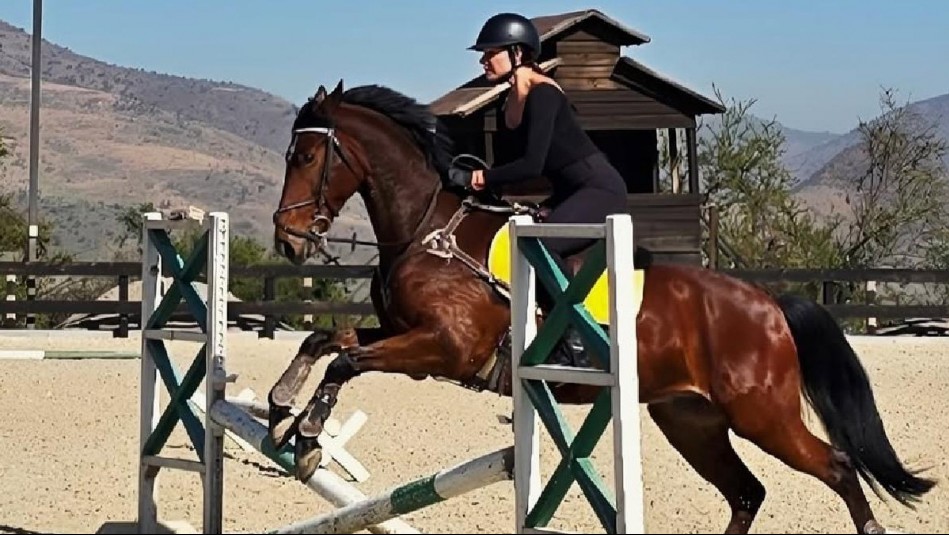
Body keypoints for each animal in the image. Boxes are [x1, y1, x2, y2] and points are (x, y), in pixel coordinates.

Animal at [268, 79, 935, 534]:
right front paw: (281, 410)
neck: (428, 230)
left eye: (306, 158)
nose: (289, 241)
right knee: (748, 493)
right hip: (690, 420)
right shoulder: (402, 332)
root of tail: (767, 303)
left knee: (839, 467)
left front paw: (306, 438)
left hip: (762, 415)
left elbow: (346, 361)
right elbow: (327, 342)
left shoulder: (444, 347)